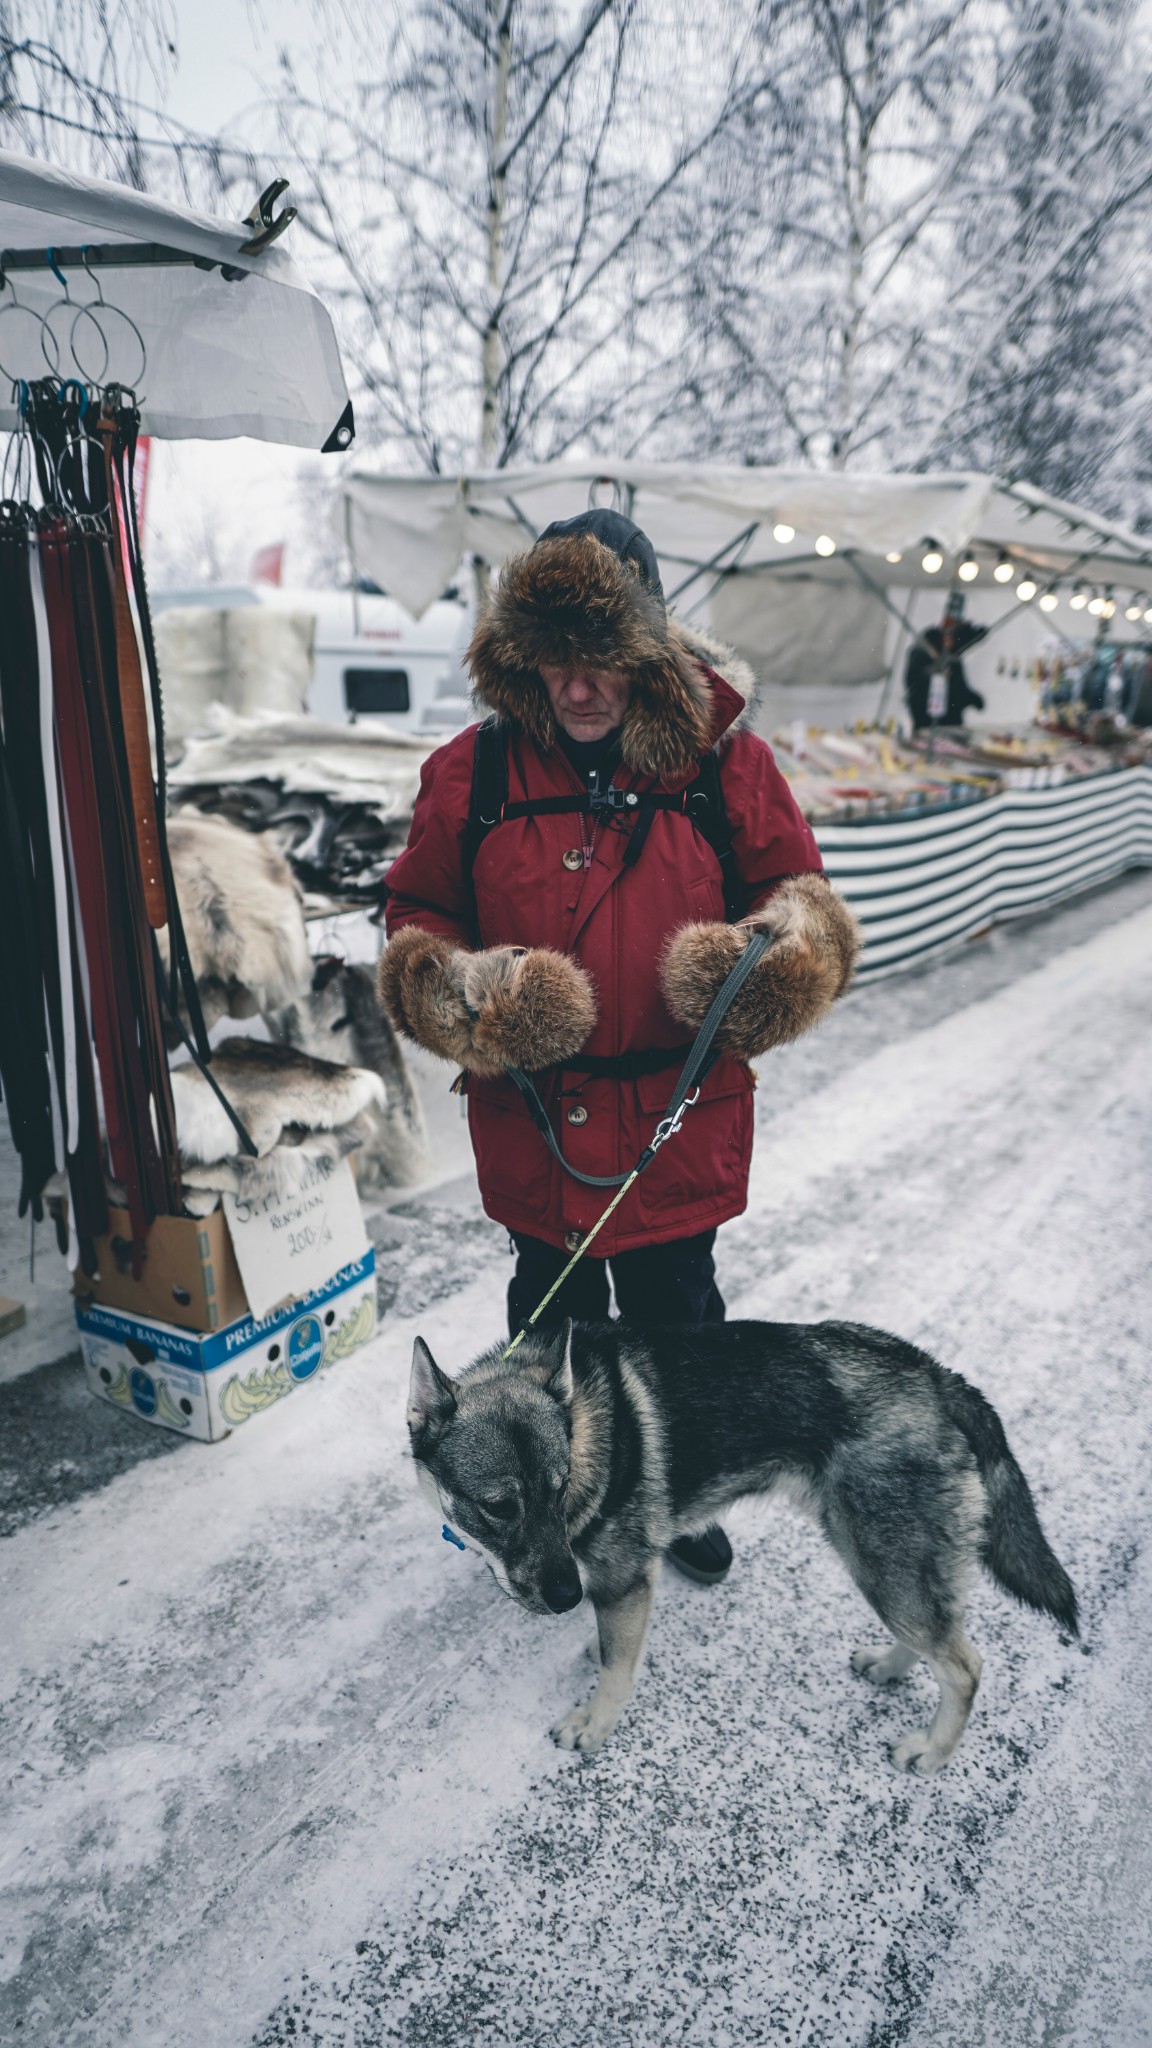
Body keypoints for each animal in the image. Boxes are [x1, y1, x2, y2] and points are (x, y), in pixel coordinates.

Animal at [407, 1318, 1074, 1769]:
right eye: (500, 1507)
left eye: (560, 1487)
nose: (569, 1597)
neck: (584, 1423)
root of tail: (939, 1377)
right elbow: (612, 1647)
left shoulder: (625, 1583)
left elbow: (618, 1670)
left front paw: (595, 1722)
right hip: (892, 1567)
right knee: (937, 1634)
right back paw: (889, 1666)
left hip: (884, 1565)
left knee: (964, 1666)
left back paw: (932, 1751)